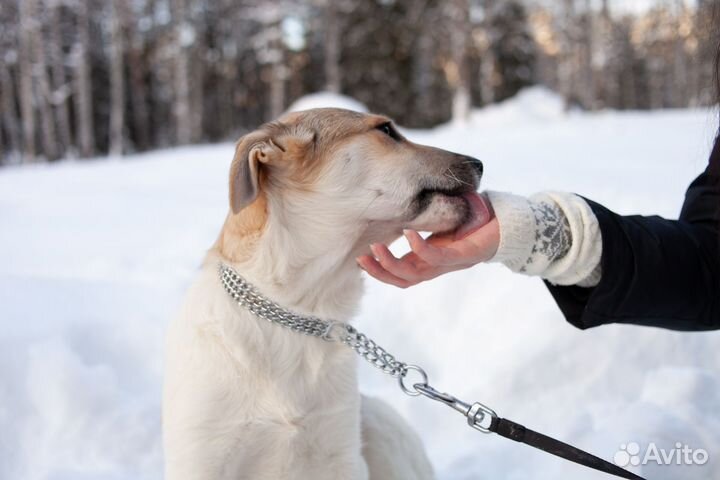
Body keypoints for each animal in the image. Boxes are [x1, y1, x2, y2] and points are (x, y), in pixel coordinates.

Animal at [162, 109, 484, 480]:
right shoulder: (202, 457)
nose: (479, 163)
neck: (300, 310)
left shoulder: (342, 455)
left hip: (379, 424)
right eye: (386, 130)